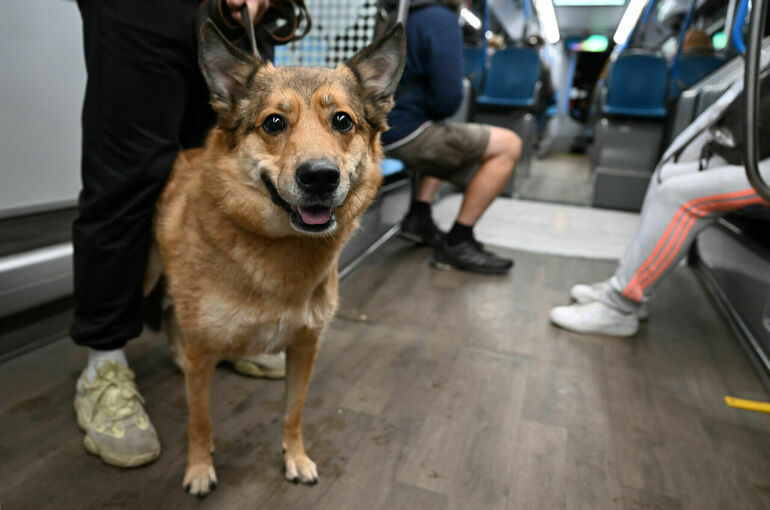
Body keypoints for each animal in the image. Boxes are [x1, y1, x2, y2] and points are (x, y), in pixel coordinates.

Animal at [148, 21, 404, 496]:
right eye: (274, 122)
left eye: (343, 120)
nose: (320, 177)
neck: (282, 248)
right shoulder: (203, 350)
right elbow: (200, 420)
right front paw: (199, 468)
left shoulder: (304, 347)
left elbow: (293, 412)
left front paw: (295, 458)